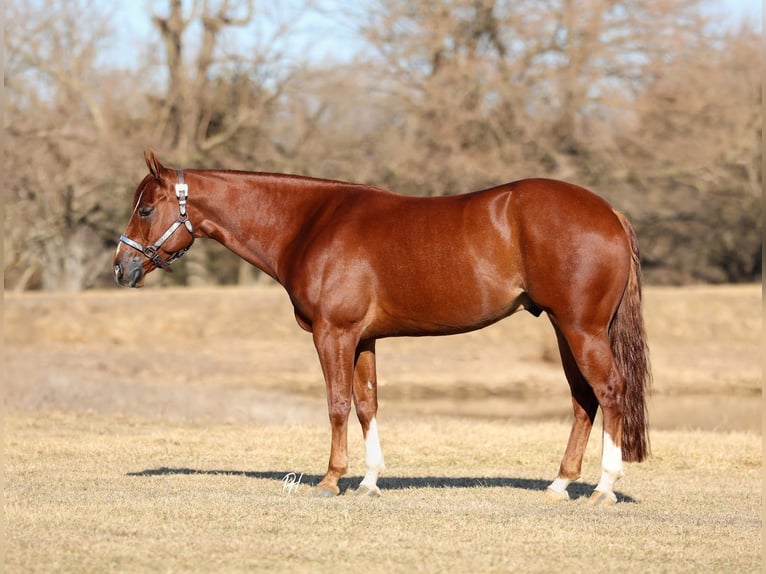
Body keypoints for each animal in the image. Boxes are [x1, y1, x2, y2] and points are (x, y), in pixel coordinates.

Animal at [114, 150, 651, 505]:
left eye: (145, 208)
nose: (121, 268)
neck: (311, 223)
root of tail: (609, 212)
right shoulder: (364, 338)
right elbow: (367, 404)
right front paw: (370, 480)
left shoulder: (333, 333)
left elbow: (336, 404)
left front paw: (332, 479)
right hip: (565, 329)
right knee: (583, 400)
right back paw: (559, 484)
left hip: (582, 329)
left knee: (609, 390)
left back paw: (604, 488)